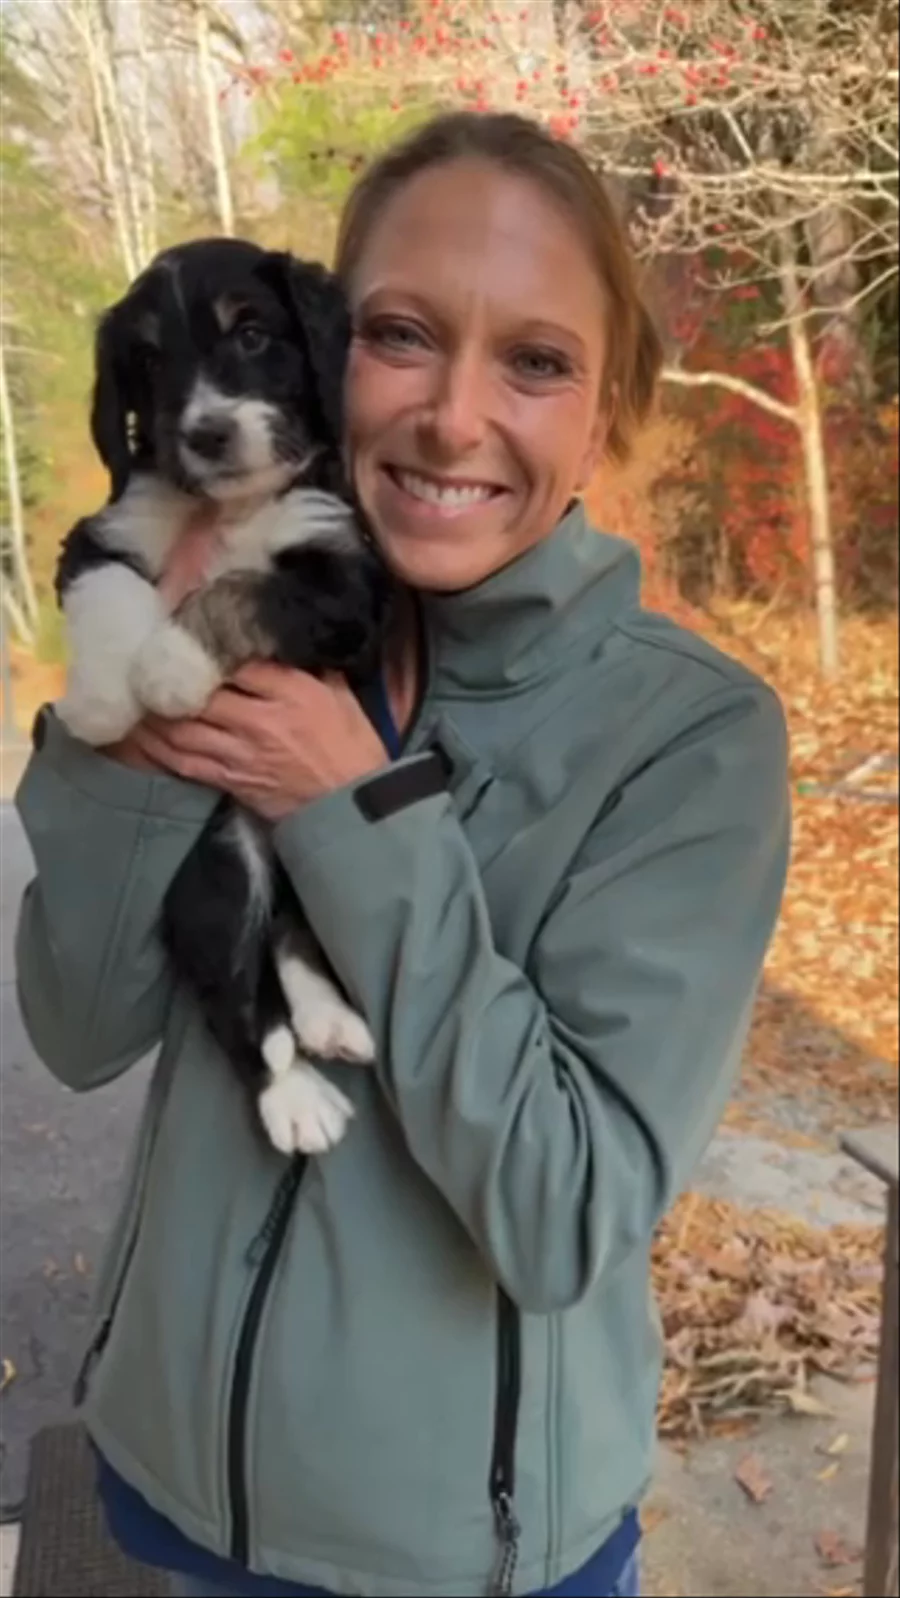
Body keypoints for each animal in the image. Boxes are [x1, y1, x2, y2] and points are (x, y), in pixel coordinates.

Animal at [55, 238, 393, 1156]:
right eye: (148, 360)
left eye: (250, 334)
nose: (205, 432)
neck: (232, 506)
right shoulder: (101, 535)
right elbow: (112, 592)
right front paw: (104, 699)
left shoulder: (344, 593)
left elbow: (240, 588)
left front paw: (169, 666)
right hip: (219, 870)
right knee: (244, 999)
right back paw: (299, 1089)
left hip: (289, 850)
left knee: (289, 940)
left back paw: (324, 1034)